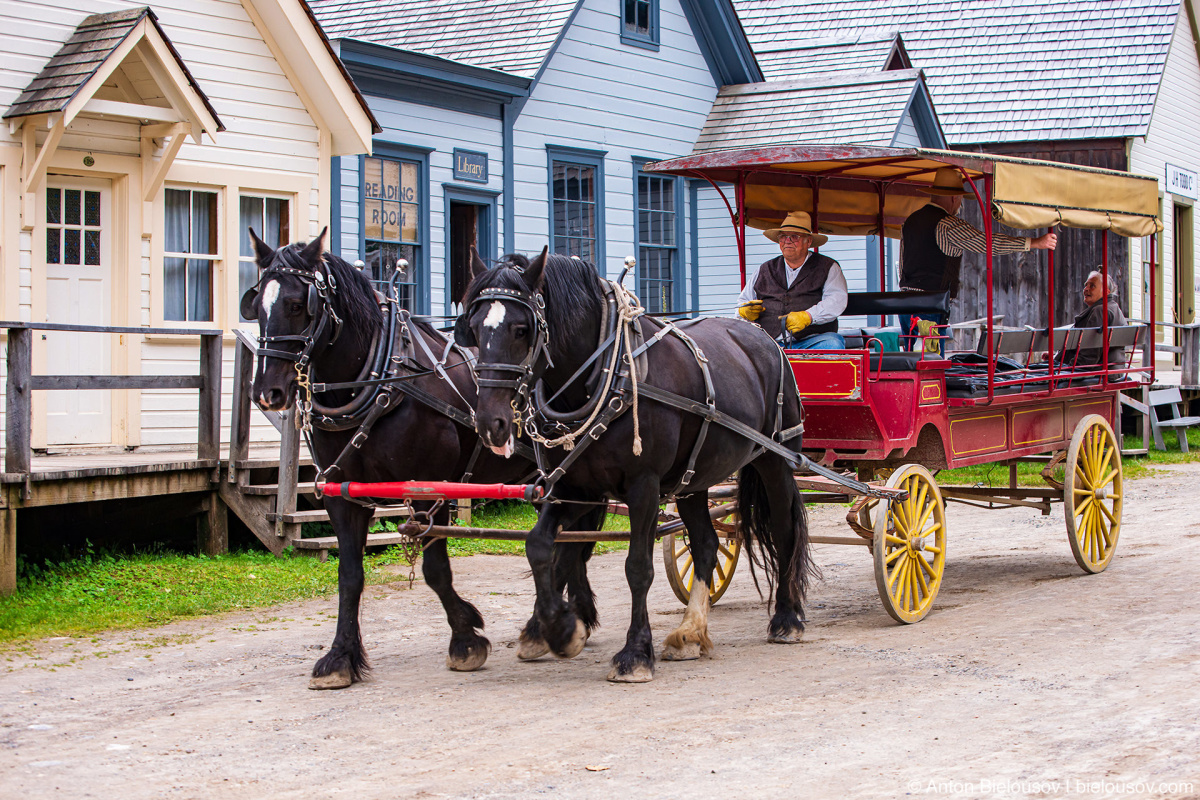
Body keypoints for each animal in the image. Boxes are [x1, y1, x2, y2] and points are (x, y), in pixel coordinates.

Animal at [243, 231, 604, 690]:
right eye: (257, 304)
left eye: (296, 304)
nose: (266, 391)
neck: (382, 381)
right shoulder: (342, 494)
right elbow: (349, 576)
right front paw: (340, 657)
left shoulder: (430, 487)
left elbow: (435, 570)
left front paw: (466, 639)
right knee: (574, 540)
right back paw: (569, 616)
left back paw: (546, 626)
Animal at [458, 250, 816, 681]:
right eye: (474, 328)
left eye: (521, 329)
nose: (489, 423)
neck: (609, 375)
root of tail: (764, 338)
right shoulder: (573, 488)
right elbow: (542, 547)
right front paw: (558, 630)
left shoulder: (643, 485)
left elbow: (637, 567)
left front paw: (635, 653)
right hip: (694, 477)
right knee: (706, 544)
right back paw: (690, 632)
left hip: (775, 461)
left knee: (783, 532)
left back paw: (787, 619)